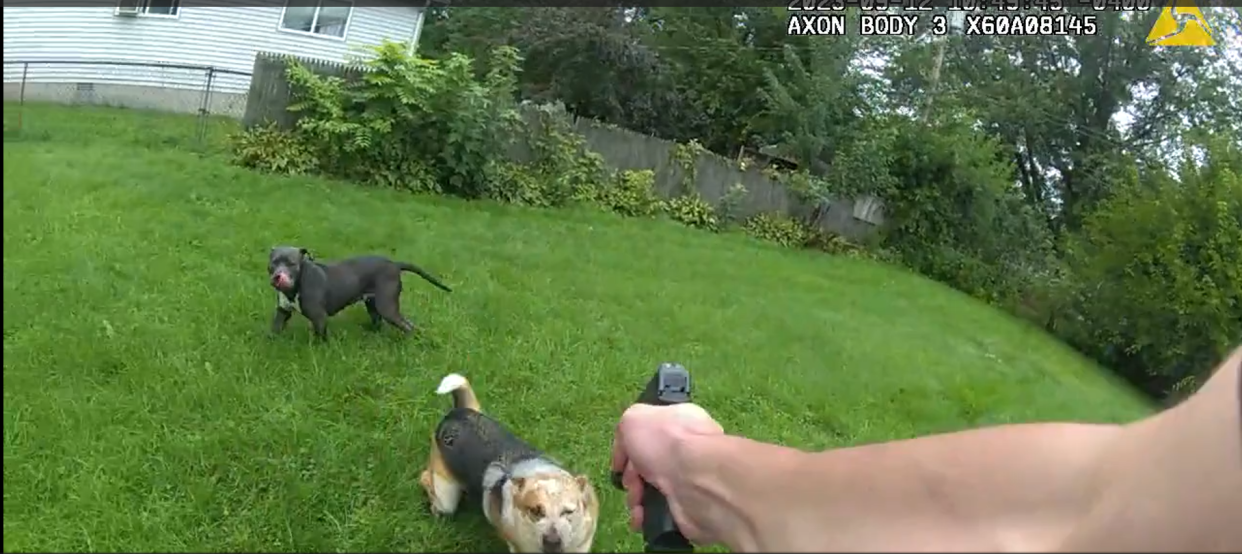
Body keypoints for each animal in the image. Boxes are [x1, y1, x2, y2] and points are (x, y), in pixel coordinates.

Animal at [269, 247, 454, 342]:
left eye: (291, 264)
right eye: (273, 263)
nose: (278, 276)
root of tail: (395, 264)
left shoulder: (319, 317)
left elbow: (320, 338)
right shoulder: (282, 311)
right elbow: (274, 328)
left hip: (387, 306)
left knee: (408, 325)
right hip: (373, 304)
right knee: (379, 322)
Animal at [422, 375, 601, 551]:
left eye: (568, 512)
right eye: (536, 511)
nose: (552, 541)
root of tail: (456, 412)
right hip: (445, 496)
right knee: (426, 480)